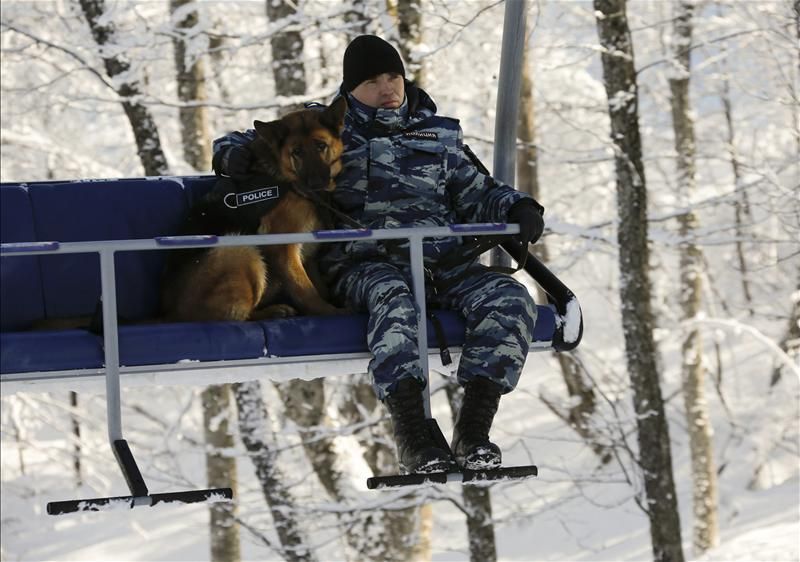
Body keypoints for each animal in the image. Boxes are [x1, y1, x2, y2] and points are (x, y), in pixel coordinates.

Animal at [162, 98, 346, 322]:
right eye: (297, 152)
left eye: (321, 146)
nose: (316, 183)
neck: (286, 176)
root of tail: (168, 314)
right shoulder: (283, 249)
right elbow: (306, 290)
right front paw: (331, 312)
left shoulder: (308, 255)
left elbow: (320, 288)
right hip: (241, 250)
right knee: (239, 316)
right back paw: (274, 311)